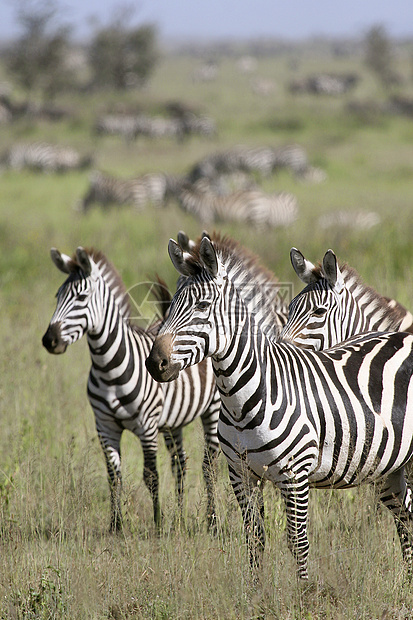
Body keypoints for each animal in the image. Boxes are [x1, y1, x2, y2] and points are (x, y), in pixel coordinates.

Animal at [41, 249, 220, 532]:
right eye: (57, 296)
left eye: (81, 297)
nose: (50, 341)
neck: (108, 369)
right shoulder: (105, 427)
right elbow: (114, 476)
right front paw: (116, 525)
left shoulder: (147, 426)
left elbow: (151, 476)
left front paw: (158, 525)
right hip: (173, 422)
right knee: (179, 464)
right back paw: (180, 519)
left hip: (212, 408)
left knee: (209, 465)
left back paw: (211, 522)